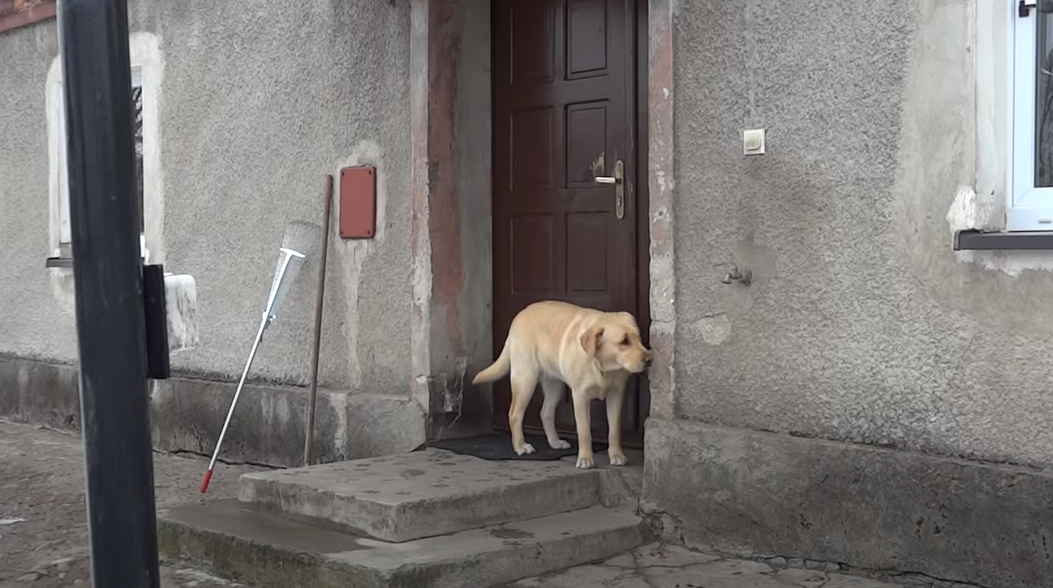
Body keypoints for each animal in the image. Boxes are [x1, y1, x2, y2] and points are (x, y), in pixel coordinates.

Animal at [475, 301, 652, 472]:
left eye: (638, 337)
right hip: (526, 378)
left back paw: (555, 442)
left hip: (555, 386)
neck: (602, 366)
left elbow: (614, 430)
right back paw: (521, 446)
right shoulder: (580, 397)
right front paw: (585, 459)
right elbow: (584, 432)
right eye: (624, 342)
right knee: (514, 414)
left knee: (545, 412)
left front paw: (617, 455)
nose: (650, 359)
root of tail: (520, 314)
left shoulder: (616, 395)